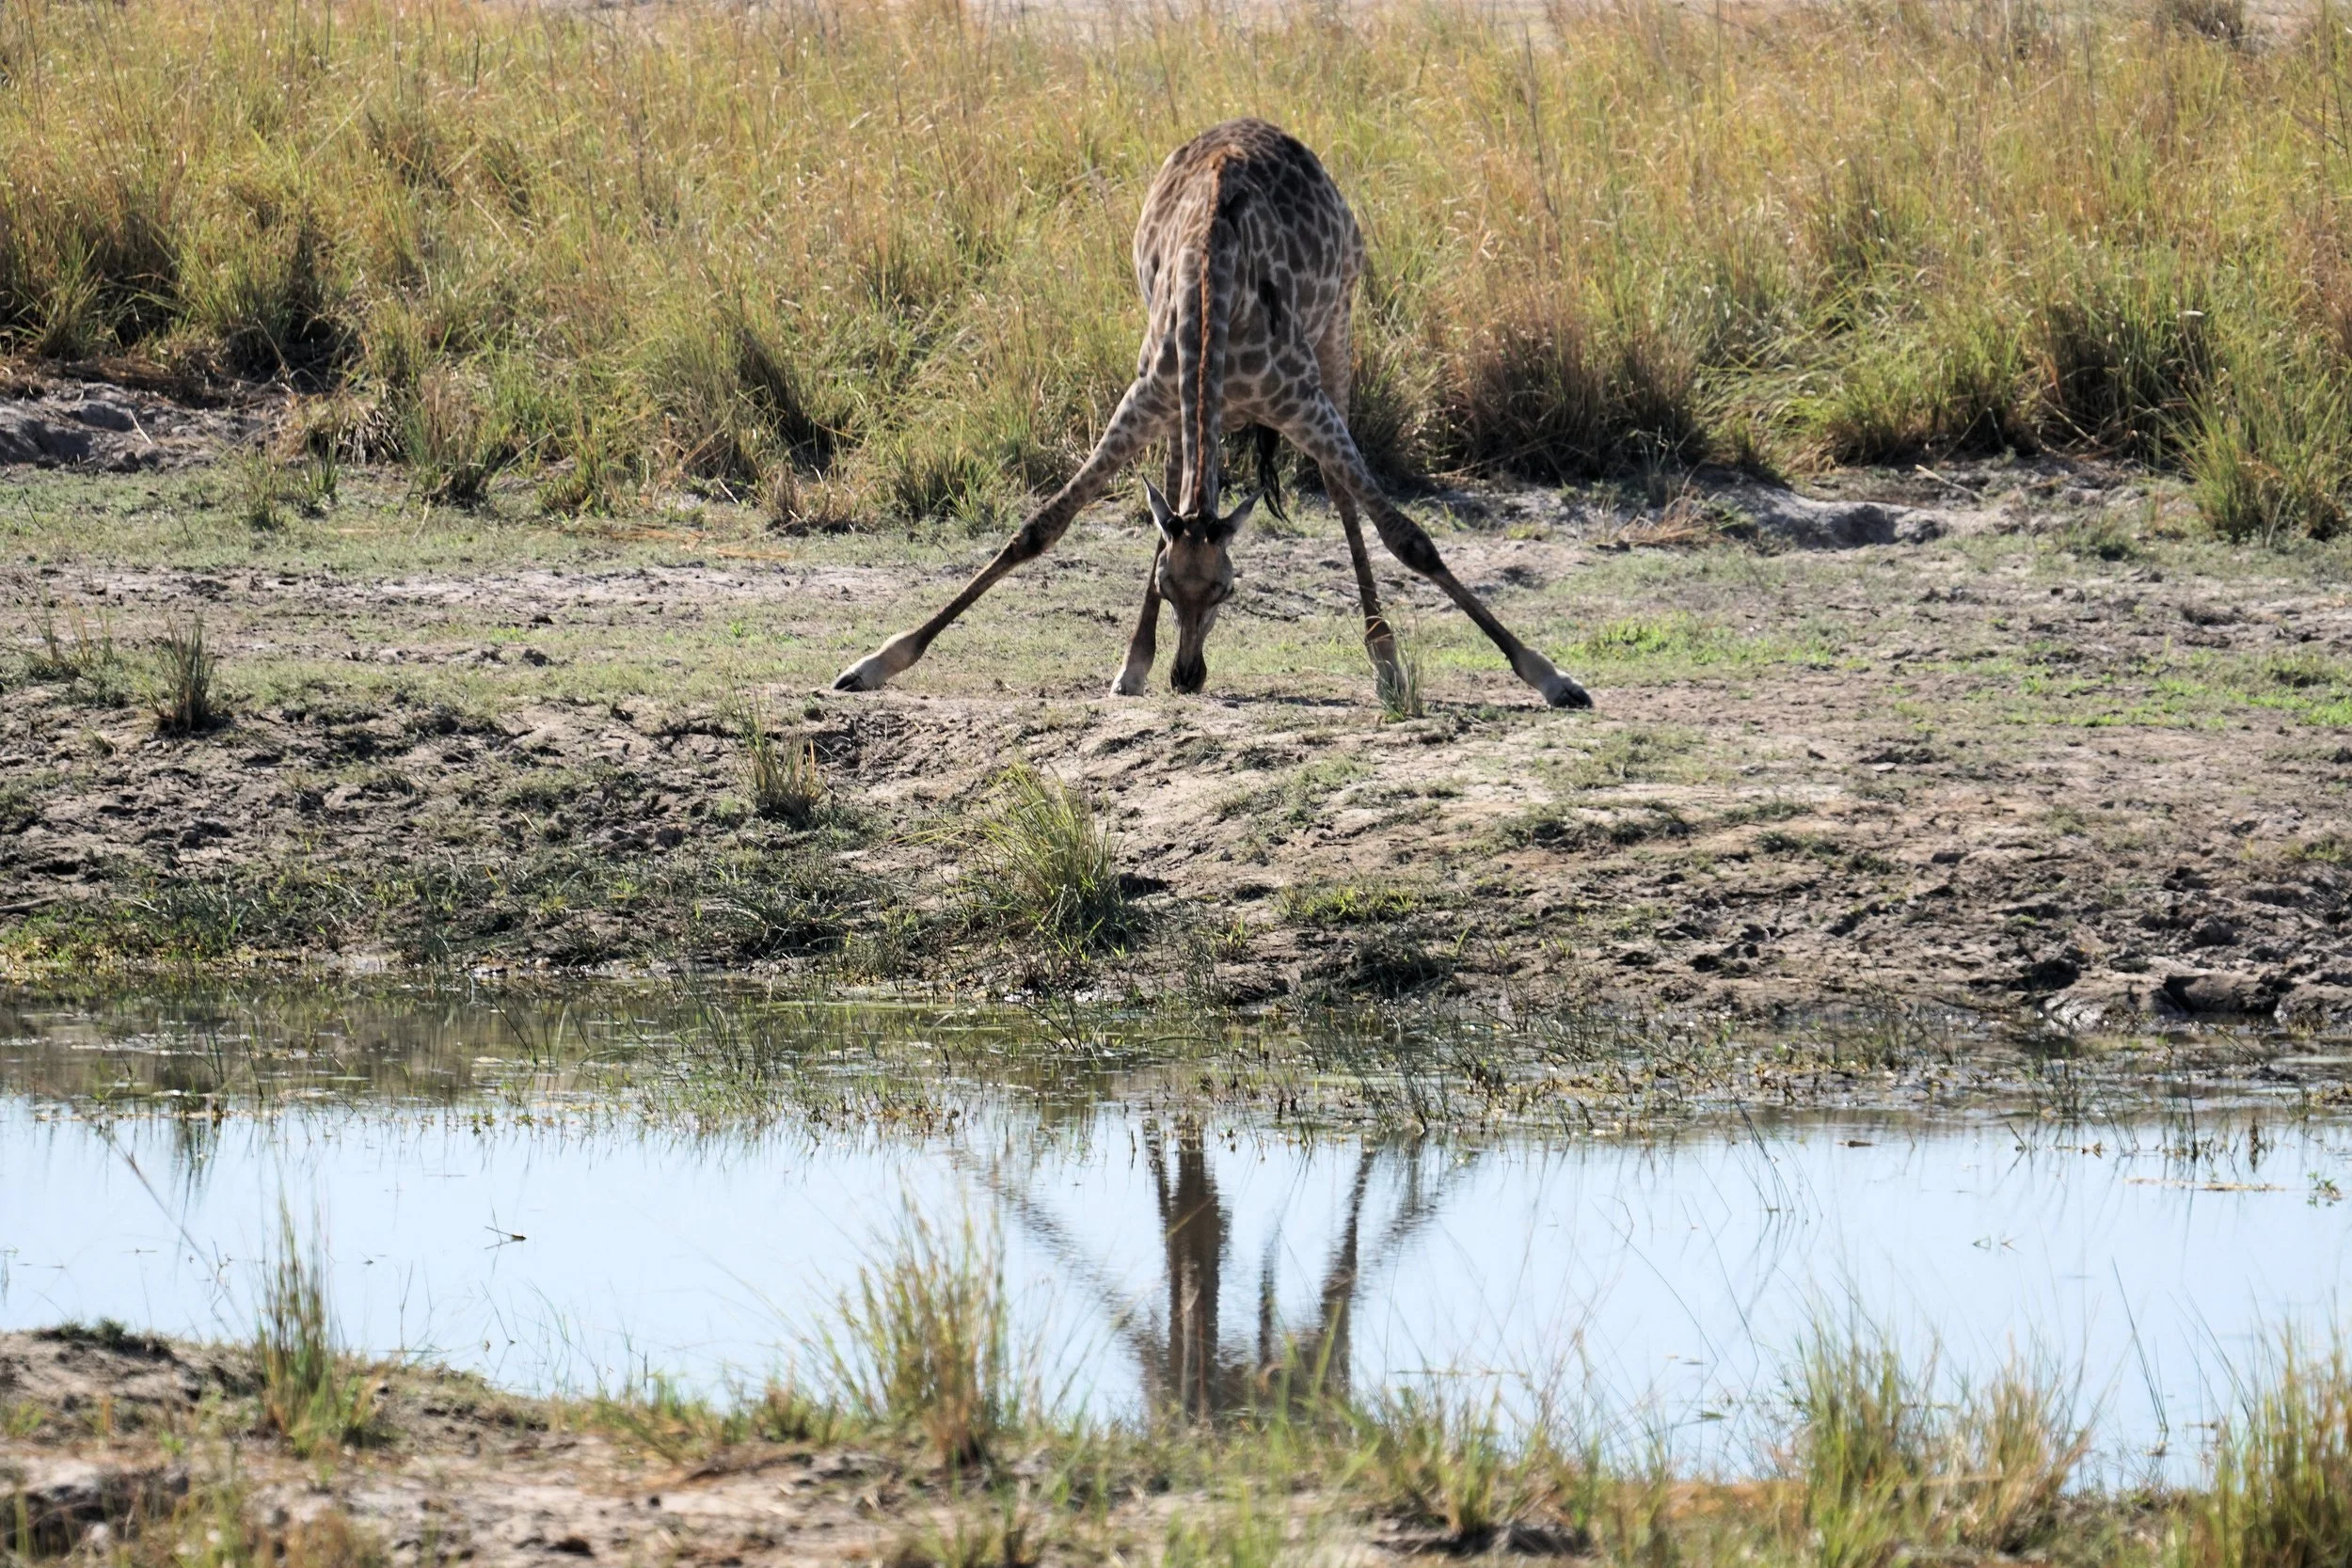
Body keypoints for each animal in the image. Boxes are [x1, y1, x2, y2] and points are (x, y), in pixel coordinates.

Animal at [833, 118, 1592, 710]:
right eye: (1167, 587)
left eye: (1229, 590)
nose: (1188, 676)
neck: (1213, 286)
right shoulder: (1145, 398)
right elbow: (1039, 527)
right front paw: (874, 664)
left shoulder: (1301, 400)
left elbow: (1409, 537)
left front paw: (1550, 676)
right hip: (1185, 409)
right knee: (1178, 480)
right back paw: (1133, 664)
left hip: (1338, 330)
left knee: (1341, 492)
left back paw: (1385, 663)